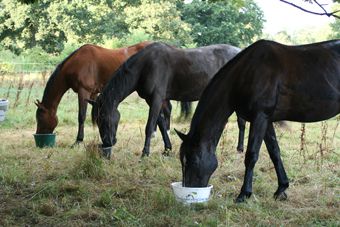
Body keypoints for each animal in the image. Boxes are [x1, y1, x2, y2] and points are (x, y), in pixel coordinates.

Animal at [89, 41, 240, 157]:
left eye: (103, 117)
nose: (107, 143)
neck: (146, 66)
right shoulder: (151, 100)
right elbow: (161, 123)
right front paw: (167, 149)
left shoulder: (157, 98)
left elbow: (150, 125)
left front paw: (145, 153)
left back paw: (239, 149)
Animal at [175, 38, 340, 202]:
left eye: (192, 160)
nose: (190, 191)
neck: (247, 73)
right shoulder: (266, 121)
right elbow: (274, 152)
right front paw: (281, 188)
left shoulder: (260, 117)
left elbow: (251, 155)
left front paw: (244, 194)